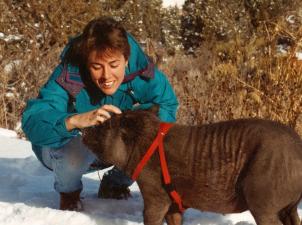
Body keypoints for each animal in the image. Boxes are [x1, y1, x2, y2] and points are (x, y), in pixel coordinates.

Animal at [82, 107, 302, 225]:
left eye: (106, 126)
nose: (84, 131)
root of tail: (298, 148)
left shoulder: (154, 191)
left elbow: (151, 216)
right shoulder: (173, 203)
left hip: (263, 200)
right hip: (289, 207)